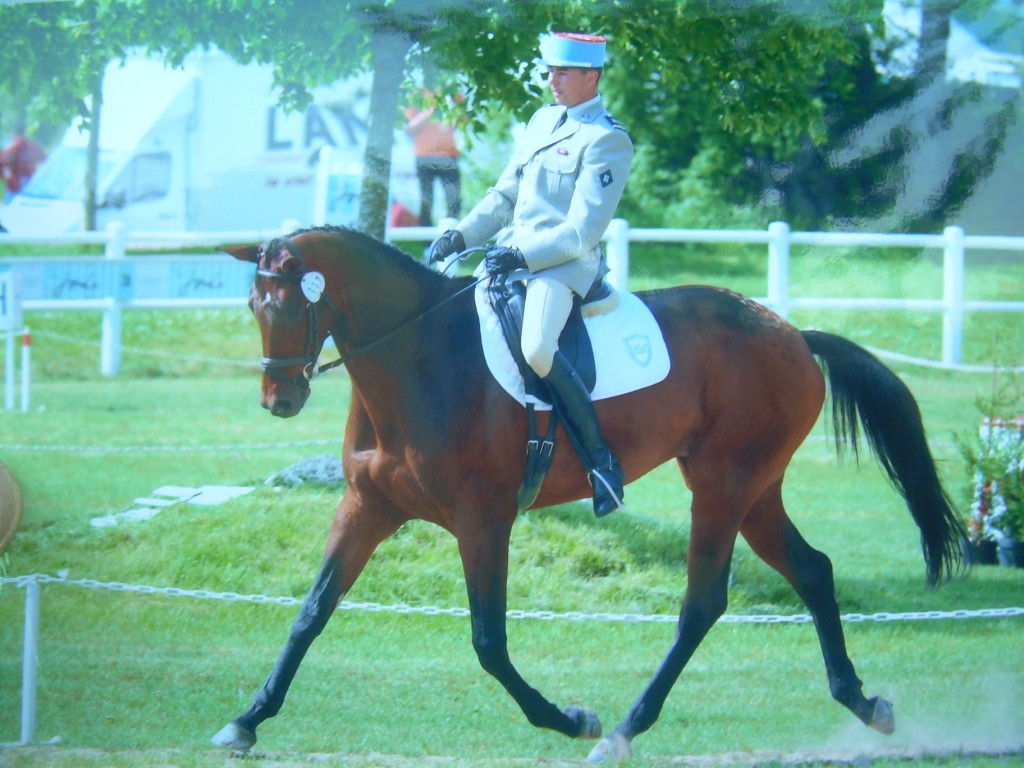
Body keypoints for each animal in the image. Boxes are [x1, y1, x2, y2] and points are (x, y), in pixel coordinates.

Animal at [211, 224, 962, 765]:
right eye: (254, 306)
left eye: (296, 304)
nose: (280, 399)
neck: (422, 360)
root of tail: (792, 335)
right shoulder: (368, 507)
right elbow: (311, 613)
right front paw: (247, 719)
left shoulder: (484, 521)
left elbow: (488, 642)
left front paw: (570, 719)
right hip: (755, 492)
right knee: (812, 571)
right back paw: (863, 702)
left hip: (723, 487)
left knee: (703, 604)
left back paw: (624, 729)